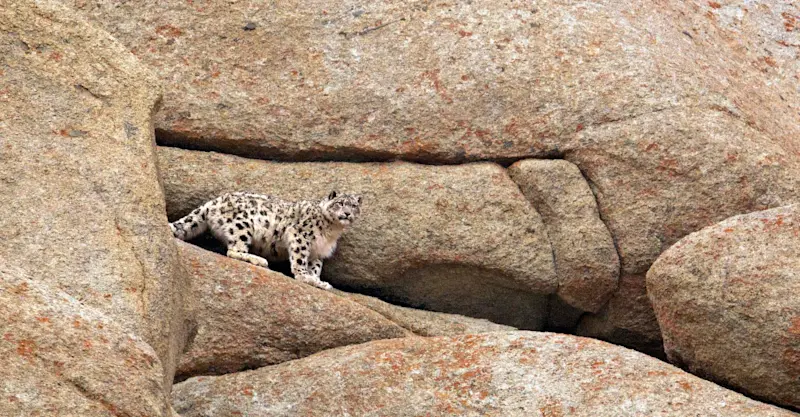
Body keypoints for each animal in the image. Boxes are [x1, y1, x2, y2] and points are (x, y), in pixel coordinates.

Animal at [169, 190, 362, 290]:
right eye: (339, 203)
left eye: (354, 206)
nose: (347, 213)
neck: (332, 230)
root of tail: (213, 202)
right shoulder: (300, 236)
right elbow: (300, 259)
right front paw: (304, 276)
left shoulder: (318, 251)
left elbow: (315, 267)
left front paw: (318, 280)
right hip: (242, 226)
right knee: (234, 250)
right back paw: (258, 259)